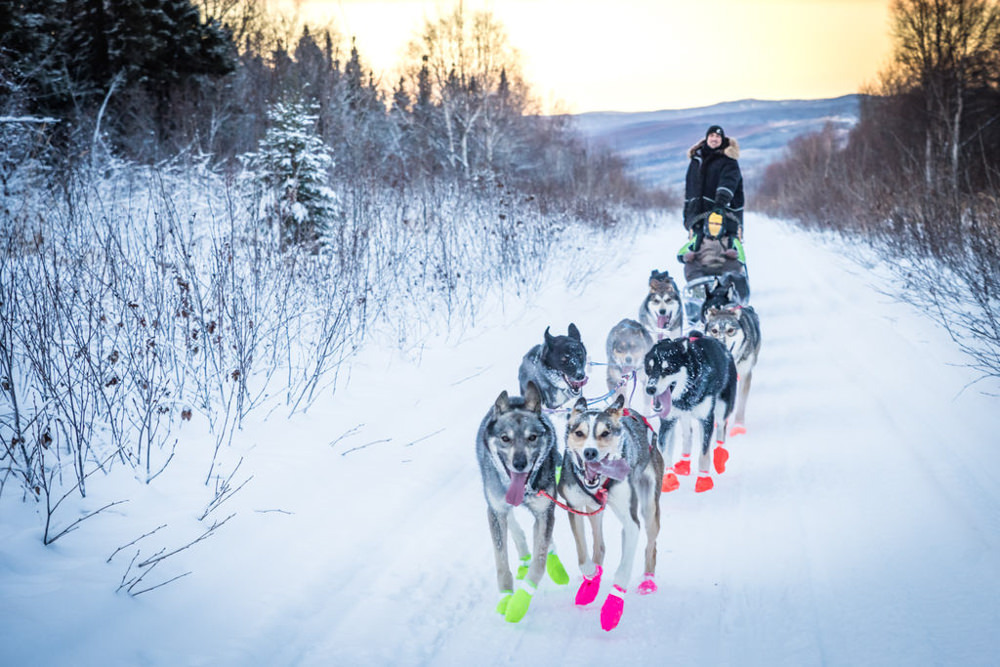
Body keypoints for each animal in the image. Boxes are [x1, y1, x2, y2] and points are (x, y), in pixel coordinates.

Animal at [478, 384, 572, 624]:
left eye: (532, 437)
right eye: (505, 438)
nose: (519, 463)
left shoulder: (545, 511)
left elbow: (539, 562)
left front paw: (519, 603)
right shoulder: (495, 511)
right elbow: (501, 562)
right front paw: (505, 597)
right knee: (513, 524)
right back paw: (523, 554)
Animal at [556, 396, 664, 632]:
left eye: (605, 433)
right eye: (580, 433)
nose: (590, 452)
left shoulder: (631, 523)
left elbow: (623, 571)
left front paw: (613, 607)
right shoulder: (574, 506)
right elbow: (583, 557)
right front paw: (590, 580)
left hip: (649, 507)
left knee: (651, 545)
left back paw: (648, 581)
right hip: (594, 510)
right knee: (599, 545)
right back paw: (592, 583)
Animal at [644, 332, 740, 494]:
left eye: (668, 369)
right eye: (649, 369)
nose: (650, 389)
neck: (686, 394)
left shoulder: (706, 419)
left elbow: (704, 453)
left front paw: (704, 479)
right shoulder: (668, 422)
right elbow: (665, 451)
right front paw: (669, 478)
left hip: (722, 407)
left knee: (721, 428)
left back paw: (720, 457)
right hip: (684, 417)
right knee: (688, 435)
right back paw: (684, 462)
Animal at [700, 280, 760, 436]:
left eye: (730, 330)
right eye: (714, 330)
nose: (720, 343)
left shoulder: (745, 375)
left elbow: (741, 403)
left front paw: (738, 425)